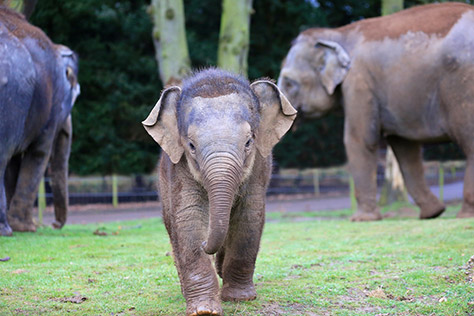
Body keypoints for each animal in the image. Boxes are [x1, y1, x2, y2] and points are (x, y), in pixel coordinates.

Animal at [0, 7, 79, 236]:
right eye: (75, 96)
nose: (54, 225)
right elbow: (39, 153)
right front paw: (26, 227)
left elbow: (15, 162)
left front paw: (22, 227)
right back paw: (6, 230)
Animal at [143, 69, 294, 316]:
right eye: (191, 146)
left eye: (249, 142)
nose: (206, 244)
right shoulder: (179, 168)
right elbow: (189, 217)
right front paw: (204, 310)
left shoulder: (259, 168)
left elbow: (249, 216)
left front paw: (240, 298)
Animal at [278, 2, 474, 221]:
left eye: (289, 82)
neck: (337, 34)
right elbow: (405, 147)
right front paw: (432, 213)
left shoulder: (358, 82)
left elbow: (358, 139)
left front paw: (361, 219)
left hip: (462, 86)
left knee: (469, 140)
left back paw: (465, 215)